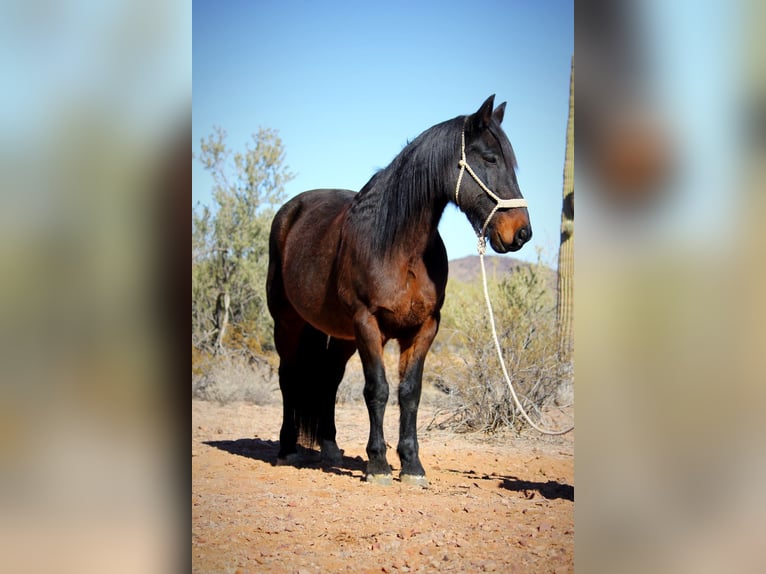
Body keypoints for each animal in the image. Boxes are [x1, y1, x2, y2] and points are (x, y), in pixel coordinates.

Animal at [268, 95, 532, 486]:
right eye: (489, 158)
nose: (521, 232)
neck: (397, 245)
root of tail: (290, 211)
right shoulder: (368, 324)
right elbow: (377, 390)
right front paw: (377, 464)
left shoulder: (423, 328)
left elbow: (410, 393)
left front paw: (411, 465)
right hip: (288, 323)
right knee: (289, 377)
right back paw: (287, 449)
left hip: (340, 336)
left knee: (328, 382)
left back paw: (330, 450)